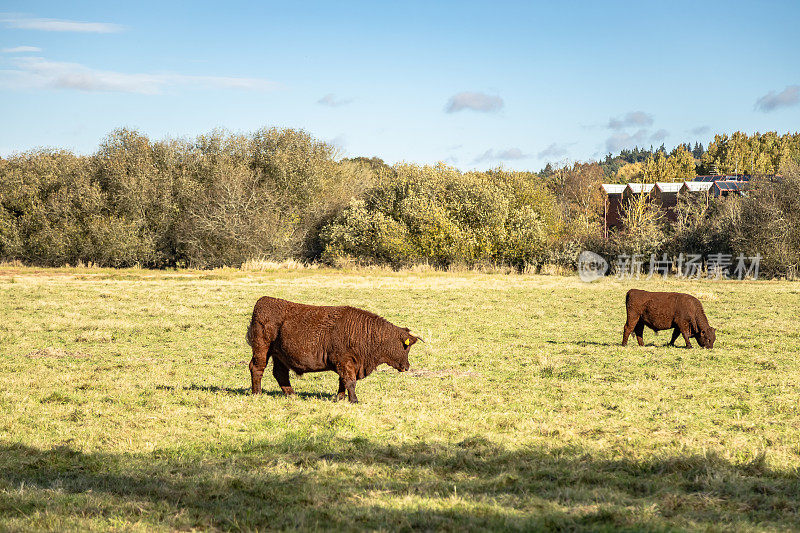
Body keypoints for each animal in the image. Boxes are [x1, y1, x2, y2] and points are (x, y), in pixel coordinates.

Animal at [245, 296, 422, 404]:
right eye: (405, 347)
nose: (407, 367)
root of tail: (263, 301)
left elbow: (343, 382)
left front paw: (340, 398)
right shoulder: (344, 361)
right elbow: (349, 381)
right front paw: (354, 400)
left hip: (278, 355)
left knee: (280, 374)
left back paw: (292, 395)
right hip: (262, 349)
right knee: (257, 368)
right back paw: (257, 393)